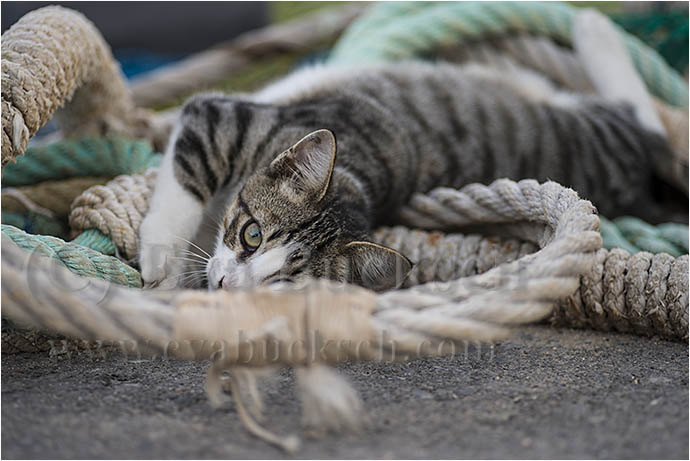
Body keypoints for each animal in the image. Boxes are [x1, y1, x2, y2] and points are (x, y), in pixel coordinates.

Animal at [140, 10, 676, 290]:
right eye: (252, 235)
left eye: (283, 285)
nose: (225, 286)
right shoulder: (225, 119)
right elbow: (189, 167)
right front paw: (162, 256)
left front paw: (171, 270)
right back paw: (593, 28)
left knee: (644, 121)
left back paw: (595, 31)